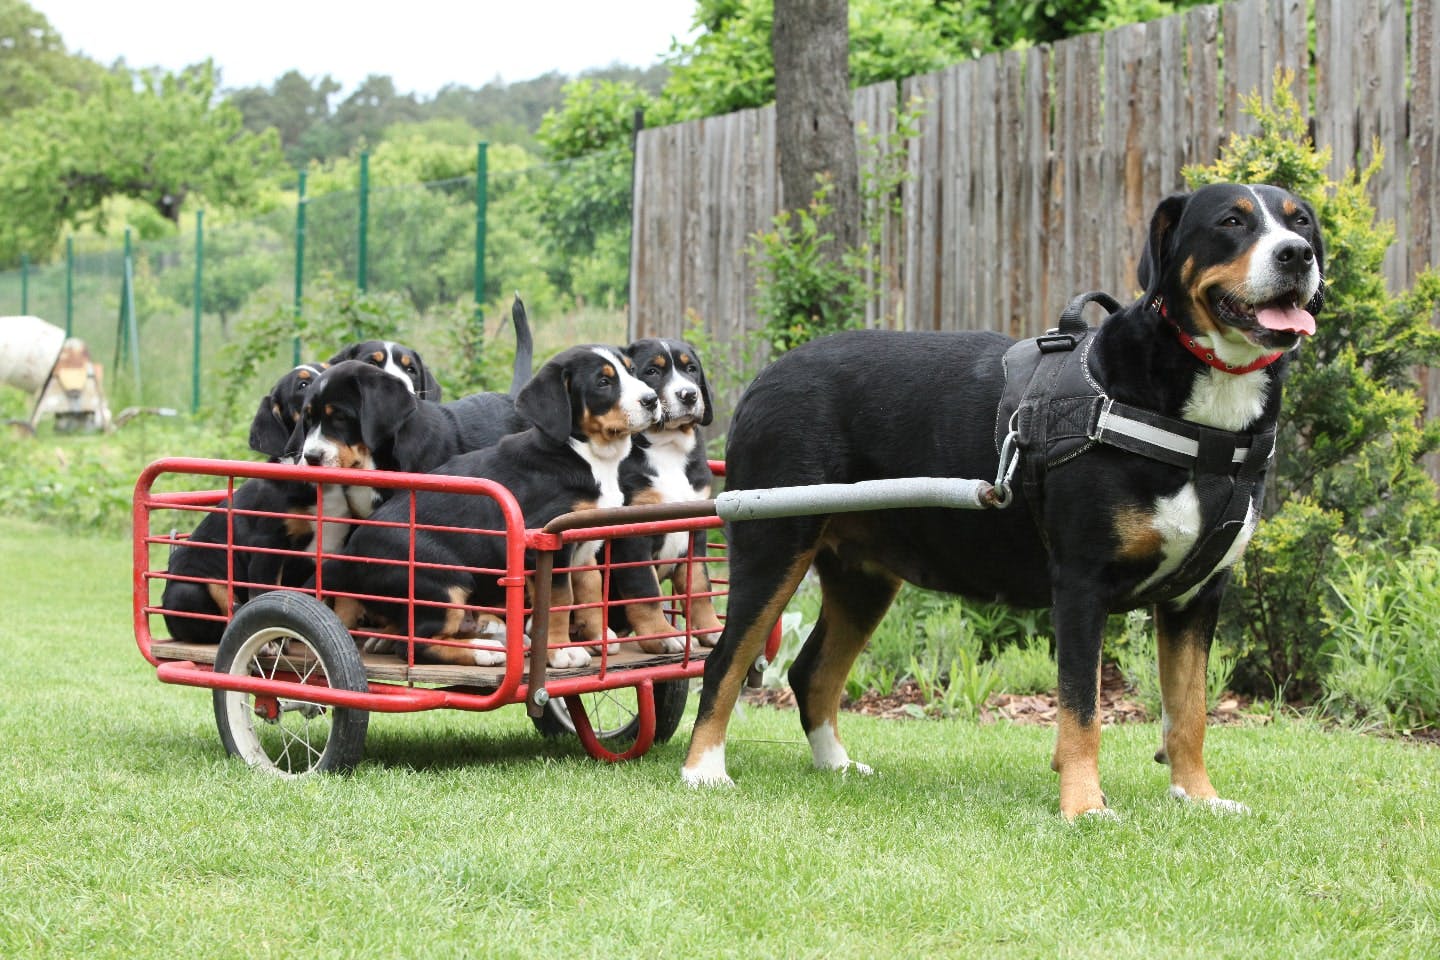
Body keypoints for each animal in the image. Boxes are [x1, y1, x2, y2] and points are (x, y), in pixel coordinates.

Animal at [318, 345, 659, 667]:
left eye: (632, 371)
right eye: (603, 382)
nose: (653, 400)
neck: (585, 454)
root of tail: (352, 554)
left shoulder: (584, 548)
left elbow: (589, 590)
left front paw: (598, 636)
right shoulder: (548, 547)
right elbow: (560, 600)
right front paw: (562, 652)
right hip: (445, 584)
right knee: (416, 644)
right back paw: (485, 652)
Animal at [685, 182, 1324, 817]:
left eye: (1302, 223)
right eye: (1231, 222)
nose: (1296, 255)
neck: (1204, 422)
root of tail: (767, 377)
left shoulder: (1197, 597)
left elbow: (1189, 713)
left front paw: (1198, 797)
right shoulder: (1082, 584)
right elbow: (1082, 710)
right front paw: (1085, 806)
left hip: (863, 578)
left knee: (812, 672)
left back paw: (836, 766)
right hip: (774, 547)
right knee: (724, 661)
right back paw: (703, 771)